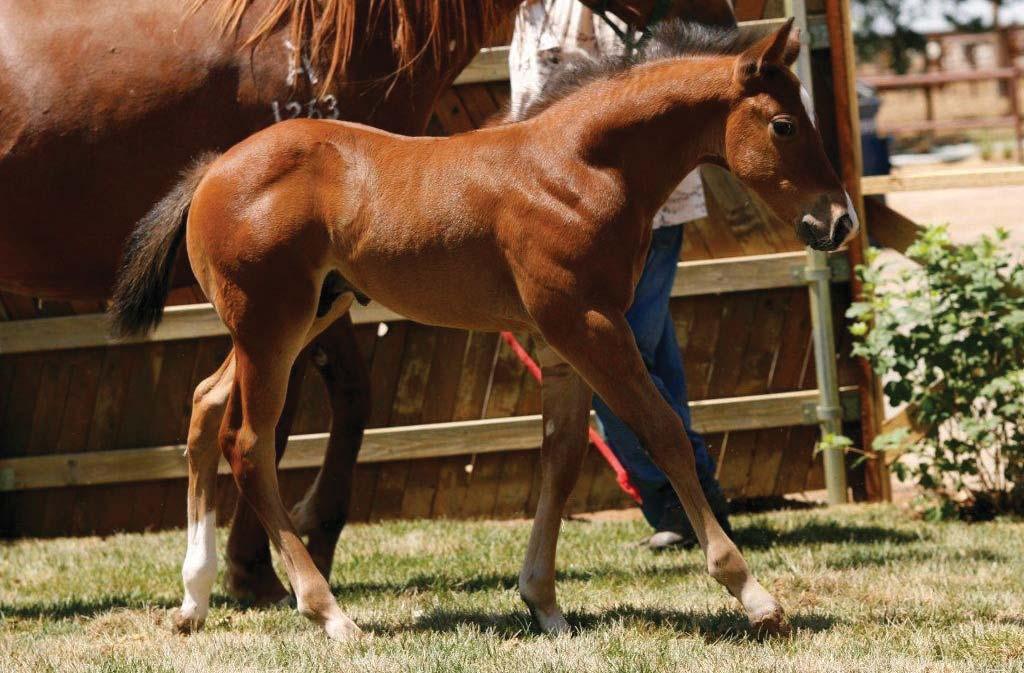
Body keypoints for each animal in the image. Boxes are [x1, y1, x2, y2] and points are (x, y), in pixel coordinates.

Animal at [0, 0, 737, 602]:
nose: (723, 26)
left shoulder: (339, 295)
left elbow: (338, 405)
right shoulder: (302, 306)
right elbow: (305, 414)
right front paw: (274, 564)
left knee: (211, 408)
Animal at [112, 18, 856, 639]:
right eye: (785, 125)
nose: (839, 220)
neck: (578, 167)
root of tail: (212, 170)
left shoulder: (560, 341)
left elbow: (561, 457)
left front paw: (544, 605)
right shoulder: (590, 324)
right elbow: (664, 430)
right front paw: (755, 596)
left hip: (293, 320)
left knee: (205, 406)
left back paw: (193, 599)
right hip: (272, 326)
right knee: (247, 444)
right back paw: (328, 612)